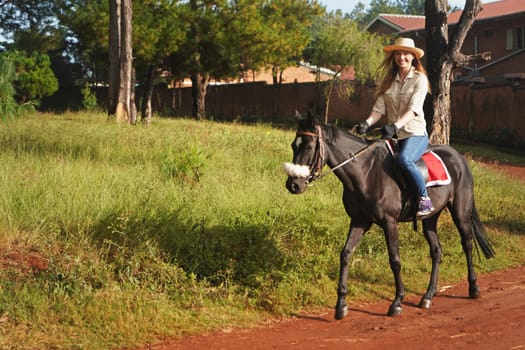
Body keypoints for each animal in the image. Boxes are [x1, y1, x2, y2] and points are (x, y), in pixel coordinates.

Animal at [284, 113, 494, 320]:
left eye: (309, 146)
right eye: (294, 145)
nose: (293, 184)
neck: (366, 172)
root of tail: (459, 158)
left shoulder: (389, 222)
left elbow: (395, 259)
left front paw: (397, 302)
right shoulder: (359, 221)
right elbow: (345, 254)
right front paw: (341, 304)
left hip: (461, 212)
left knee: (467, 244)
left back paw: (473, 288)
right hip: (430, 219)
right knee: (436, 251)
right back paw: (428, 296)